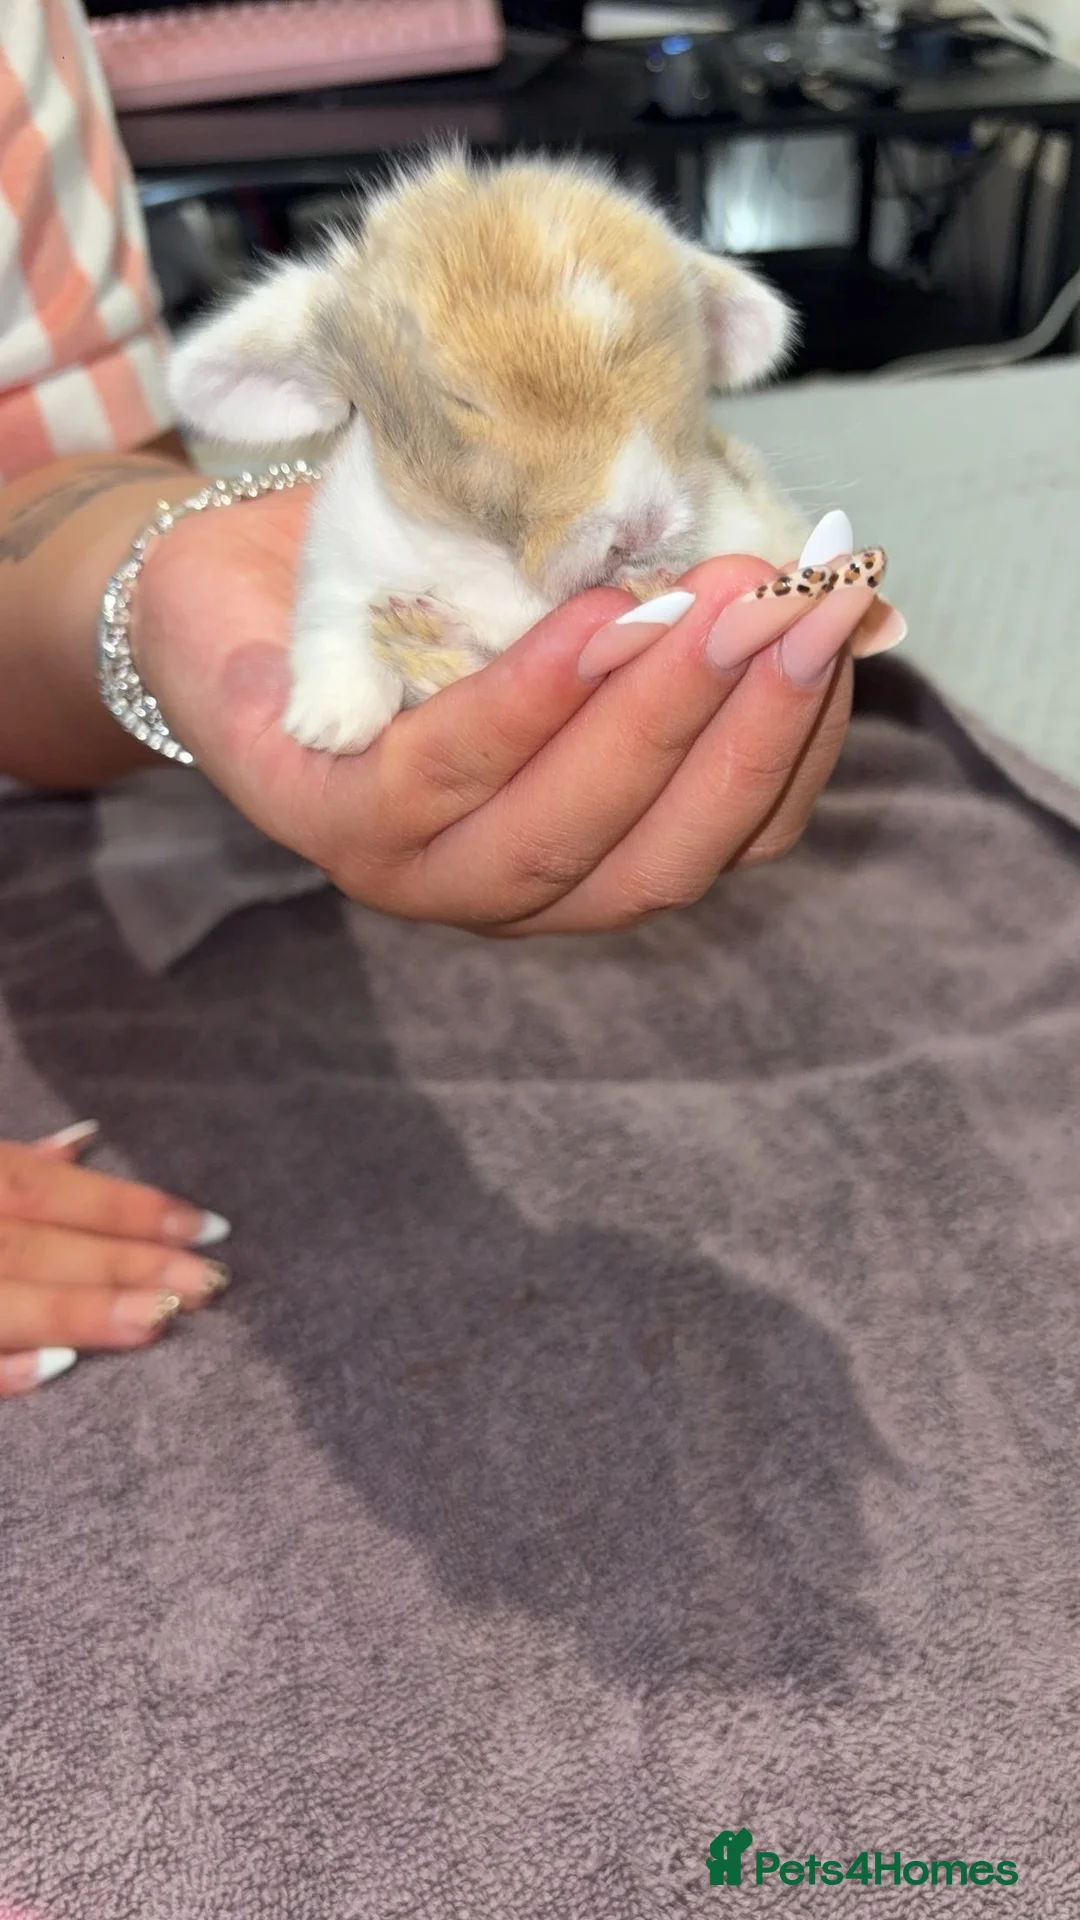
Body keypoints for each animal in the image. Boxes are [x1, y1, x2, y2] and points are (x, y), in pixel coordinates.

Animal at [169, 149, 810, 754]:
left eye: (682, 369)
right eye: (463, 401)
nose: (641, 526)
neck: (501, 562)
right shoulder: (339, 570)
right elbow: (339, 636)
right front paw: (331, 725)